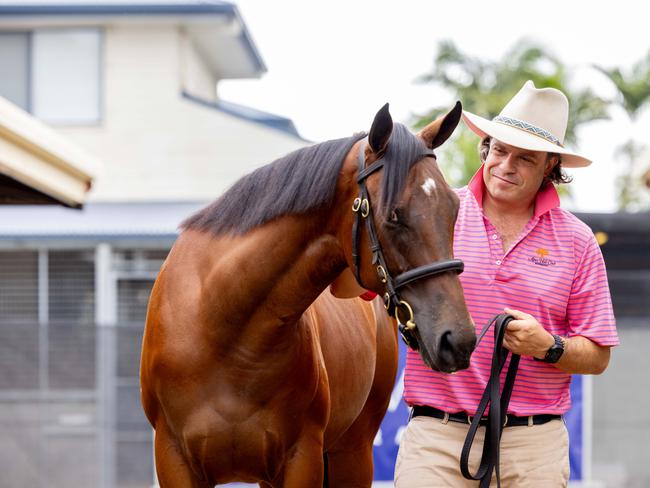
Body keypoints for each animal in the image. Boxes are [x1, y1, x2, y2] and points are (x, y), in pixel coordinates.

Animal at [140, 101, 476, 486]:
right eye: (394, 215)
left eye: (453, 209)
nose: (459, 339)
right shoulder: (174, 460)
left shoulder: (302, 460)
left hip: (353, 453)